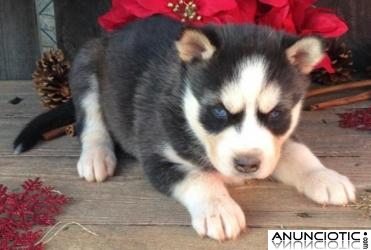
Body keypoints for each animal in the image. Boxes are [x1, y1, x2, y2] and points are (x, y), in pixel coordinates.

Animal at [13, 15, 358, 240]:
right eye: (218, 111)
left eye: (275, 113)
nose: (247, 165)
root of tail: (115, 34)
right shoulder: (157, 154)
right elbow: (199, 177)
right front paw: (218, 209)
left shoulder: (277, 142)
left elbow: (298, 153)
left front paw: (325, 177)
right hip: (86, 65)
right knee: (92, 121)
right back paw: (96, 156)